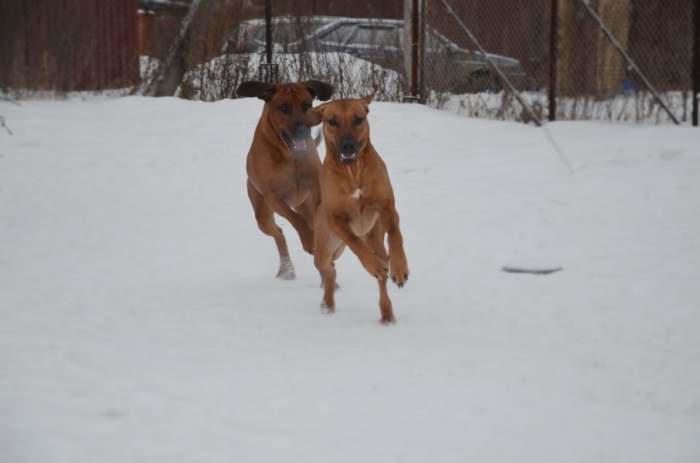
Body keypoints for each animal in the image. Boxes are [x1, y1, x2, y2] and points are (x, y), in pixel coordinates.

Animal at [237, 80, 332, 280]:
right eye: (284, 108)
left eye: (307, 105)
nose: (303, 131)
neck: (290, 155)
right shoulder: (273, 197)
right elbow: (296, 220)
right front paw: (309, 241)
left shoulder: (315, 186)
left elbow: (317, 216)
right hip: (262, 214)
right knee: (278, 233)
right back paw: (286, 269)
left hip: (304, 204)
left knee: (307, 219)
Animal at [308, 96, 408, 324]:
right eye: (332, 121)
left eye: (359, 119)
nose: (348, 145)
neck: (353, 171)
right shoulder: (335, 218)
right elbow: (354, 241)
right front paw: (372, 265)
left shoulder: (387, 205)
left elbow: (395, 234)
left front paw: (400, 267)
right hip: (324, 247)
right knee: (328, 270)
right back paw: (327, 304)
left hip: (375, 239)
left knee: (380, 274)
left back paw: (387, 313)